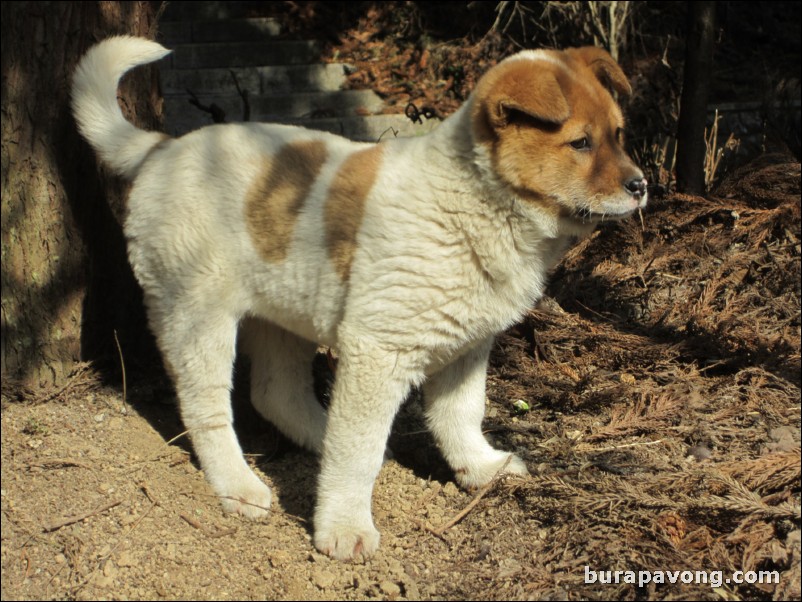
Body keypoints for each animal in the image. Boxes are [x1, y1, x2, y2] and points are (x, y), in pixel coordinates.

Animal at [73, 36, 644, 556]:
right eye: (580, 143)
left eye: (618, 135)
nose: (641, 186)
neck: (478, 200)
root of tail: (162, 148)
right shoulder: (379, 353)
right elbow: (358, 452)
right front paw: (345, 528)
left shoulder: (466, 348)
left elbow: (462, 415)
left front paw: (482, 469)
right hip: (197, 316)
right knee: (208, 408)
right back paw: (239, 486)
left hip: (282, 312)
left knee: (276, 394)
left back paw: (317, 437)